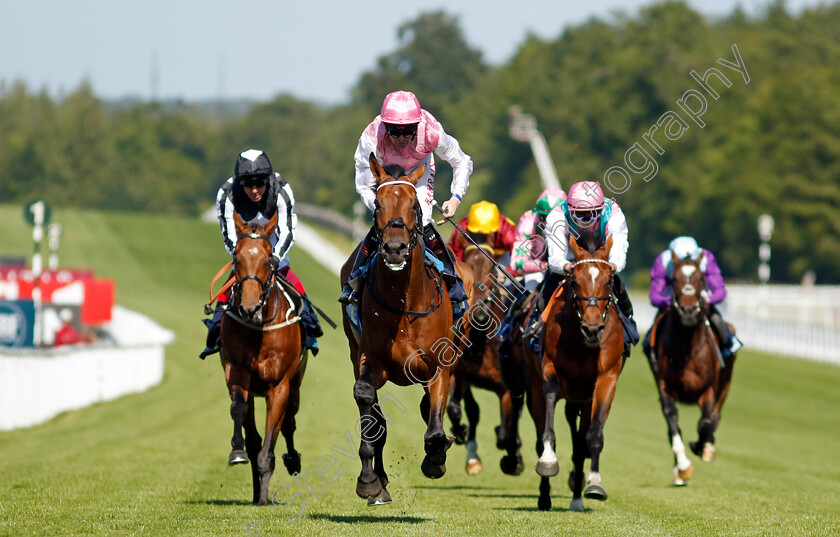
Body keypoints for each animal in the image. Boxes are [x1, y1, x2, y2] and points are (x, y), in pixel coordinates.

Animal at [218, 211, 306, 504]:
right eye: (236, 258)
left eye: (269, 260)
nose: (249, 307)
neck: (258, 329)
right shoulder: (237, 370)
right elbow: (239, 410)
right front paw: (238, 452)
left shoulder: (279, 386)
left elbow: (271, 440)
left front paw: (266, 495)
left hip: (296, 382)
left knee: (289, 421)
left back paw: (292, 460)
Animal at [342, 153, 472, 504]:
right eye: (377, 204)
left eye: (415, 205)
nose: (394, 248)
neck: (403, 302)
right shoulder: (370, 359)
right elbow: (366, 402)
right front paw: (369, 480)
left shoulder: (439, 364)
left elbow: (435, 424)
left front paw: (436, 458)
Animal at [446, 239, 524, 474]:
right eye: (468, 265)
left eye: (492, 268)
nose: (480, 309)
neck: (482, 343)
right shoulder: (462, 374)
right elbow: (458, 409)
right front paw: (461, 433)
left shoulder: (507, 388)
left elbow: (506, 430)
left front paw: (512, 456)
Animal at [540, 236, 624, 510]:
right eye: (575, 280)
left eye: (609, 281)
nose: (593, 329)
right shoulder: (549, 368)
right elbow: (549, 413)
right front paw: (547, 459)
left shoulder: (606, 379)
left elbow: (593, 435)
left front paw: (594, 483)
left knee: (580, 443)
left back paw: (577, 496)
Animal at [648, 253, 740, 484]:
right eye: (674, 279)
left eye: (700, 278)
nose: (688, 310)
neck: (686, 347)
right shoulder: (665, 386)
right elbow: (672, 420)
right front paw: (682, 466)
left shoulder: (709, 388)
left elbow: (706, 422)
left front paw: (701, 446)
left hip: (725, 383)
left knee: (715, 415)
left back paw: (707, 446)